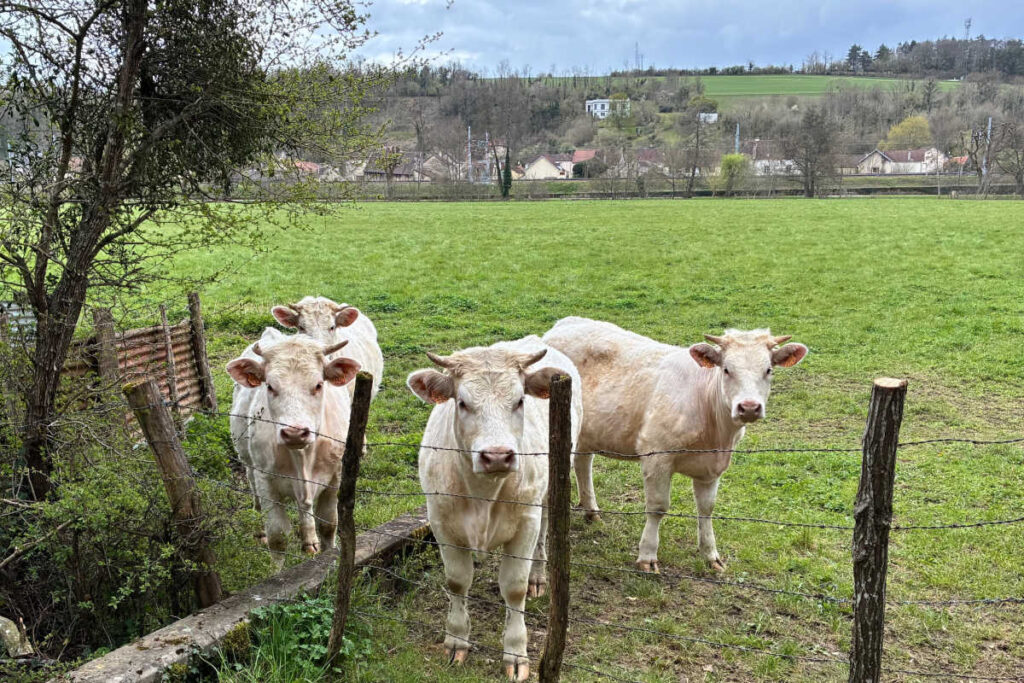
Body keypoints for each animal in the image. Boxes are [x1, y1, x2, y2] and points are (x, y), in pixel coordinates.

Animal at [227, 328, 360, 565]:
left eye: (318, 384)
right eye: (270, 386)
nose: (295, 432)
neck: (302, 456)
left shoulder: (335, 477)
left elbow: (328, 525)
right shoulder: (266, 481)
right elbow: (277, 537)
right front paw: (278, 572)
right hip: (247, 460)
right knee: (251, 481)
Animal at [407, 336, 583, 681]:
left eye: (519, 400)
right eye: (462, 402)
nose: (498, 456)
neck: (483, 494)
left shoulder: (525, 523)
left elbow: (513, 588)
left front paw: (515, 653)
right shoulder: (441, 522)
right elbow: (457, 580)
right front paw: (456, 641)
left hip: (549, 489)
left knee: (544, 532)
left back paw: (538, 577)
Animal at [544, 317, 807, 573]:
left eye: (768, 370)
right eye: (726, 369)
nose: (749, 407)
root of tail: (562, 324)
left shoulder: (712, 465)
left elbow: (706, 508)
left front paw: (711, 555)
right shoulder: (656, 454)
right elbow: (658, 507)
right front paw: (647, 556)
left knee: (583, 461)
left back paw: (592, 511)